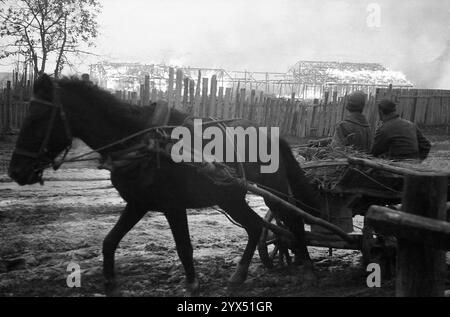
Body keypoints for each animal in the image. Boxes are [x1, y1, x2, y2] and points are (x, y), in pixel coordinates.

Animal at [8, 74, 322, 294]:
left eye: (39, 117)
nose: (15, 171)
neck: (141, 139)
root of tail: (272, 134)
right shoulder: (138, 203)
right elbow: (109, 242)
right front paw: (110, 283)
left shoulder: (173, 206)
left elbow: (184, 247)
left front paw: (193, 285)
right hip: (229, 196)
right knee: (256, 226)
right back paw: (241, 274)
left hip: (273, 191)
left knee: (293, 221)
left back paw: (307, 268)